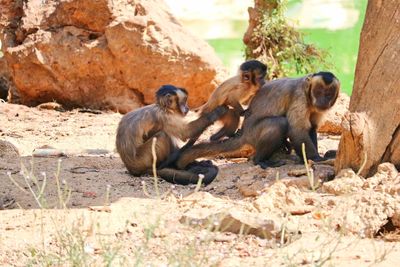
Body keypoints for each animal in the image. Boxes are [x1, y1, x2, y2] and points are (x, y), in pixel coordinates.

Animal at [176, 71, 340, 171]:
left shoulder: (315, 107)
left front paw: (308, 158)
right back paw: (259, 160)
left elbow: (312, 128)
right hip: (254, 134)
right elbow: (297, 131)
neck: (308, 95)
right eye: (318, 92)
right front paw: (316, 158)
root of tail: (244, 133)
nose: (323, 101)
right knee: (279, 123)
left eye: (328, 94)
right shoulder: (299, 97)